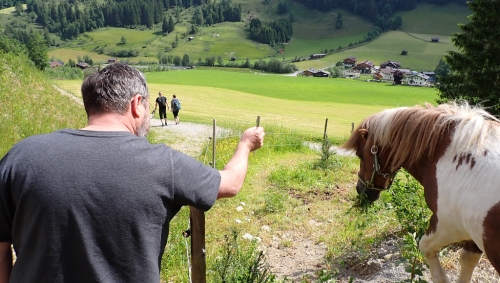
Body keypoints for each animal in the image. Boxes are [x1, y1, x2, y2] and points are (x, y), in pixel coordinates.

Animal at [342, 103, 500, 283]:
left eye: (360, 154)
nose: (360, 190)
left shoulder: (448, 227)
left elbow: (425, 248)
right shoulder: (472, 235)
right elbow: (467, 260)